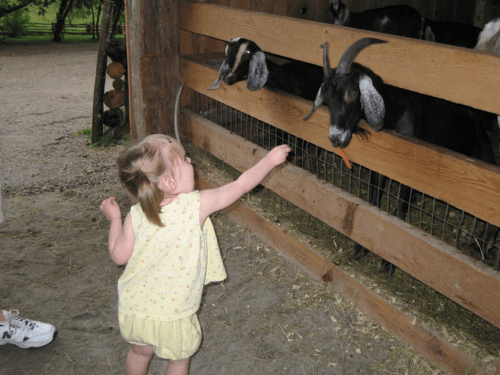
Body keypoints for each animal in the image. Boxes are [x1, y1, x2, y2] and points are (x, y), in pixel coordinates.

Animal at [304, 38, 496, 272]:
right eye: (326, 98)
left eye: (352, 93)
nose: (335, 137)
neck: (394, 113)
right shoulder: (381, 166)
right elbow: (374, 199)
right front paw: (361, 247)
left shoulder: (406, 171)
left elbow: (400, 210)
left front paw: (388, 262)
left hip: (483, 158)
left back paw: (480, 247)